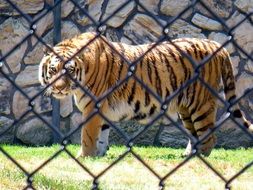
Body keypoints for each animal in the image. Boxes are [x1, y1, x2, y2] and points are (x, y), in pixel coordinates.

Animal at [38, 31, 253, 157]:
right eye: (54, 70)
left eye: (70, 71)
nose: (58, 88)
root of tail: (217, 45)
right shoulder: (103, 109)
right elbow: (102, 134)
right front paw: (99, 156)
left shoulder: (93, 106)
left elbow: (88, 135)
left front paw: (85, 157)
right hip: (186, 108)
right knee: (196, 134)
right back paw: (188, 155)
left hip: (201, 103)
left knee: (209, 136)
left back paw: (199, 158)